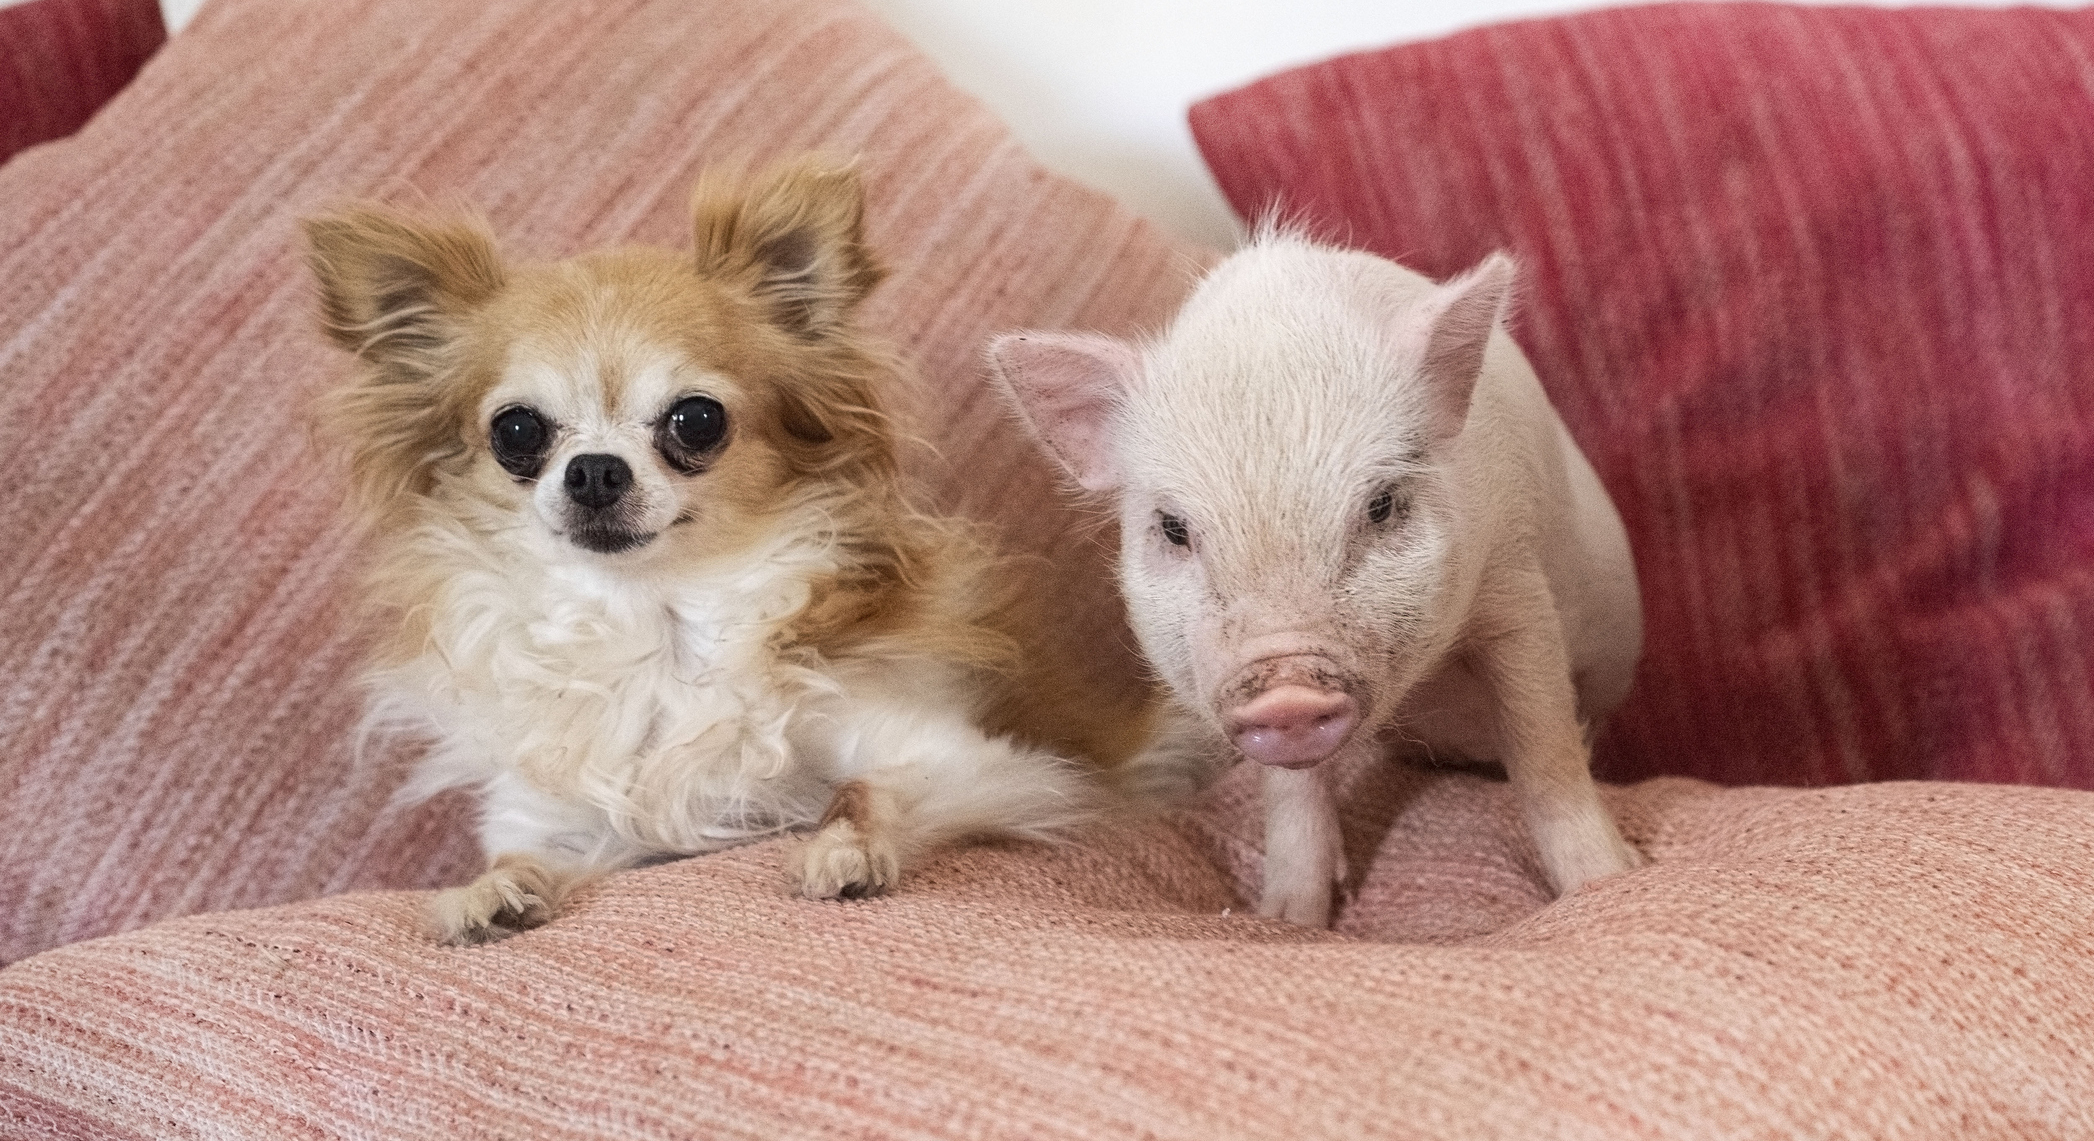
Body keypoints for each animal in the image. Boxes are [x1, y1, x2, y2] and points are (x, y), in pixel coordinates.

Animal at [312, 160, 1155, 942]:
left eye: (696, 420)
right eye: (516, 431)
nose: (594, 470)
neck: (653, 622)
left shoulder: (987, 763)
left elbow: (863, 790)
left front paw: (843, 851)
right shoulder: (561, 814)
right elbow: (523, 854)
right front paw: (488, 893)